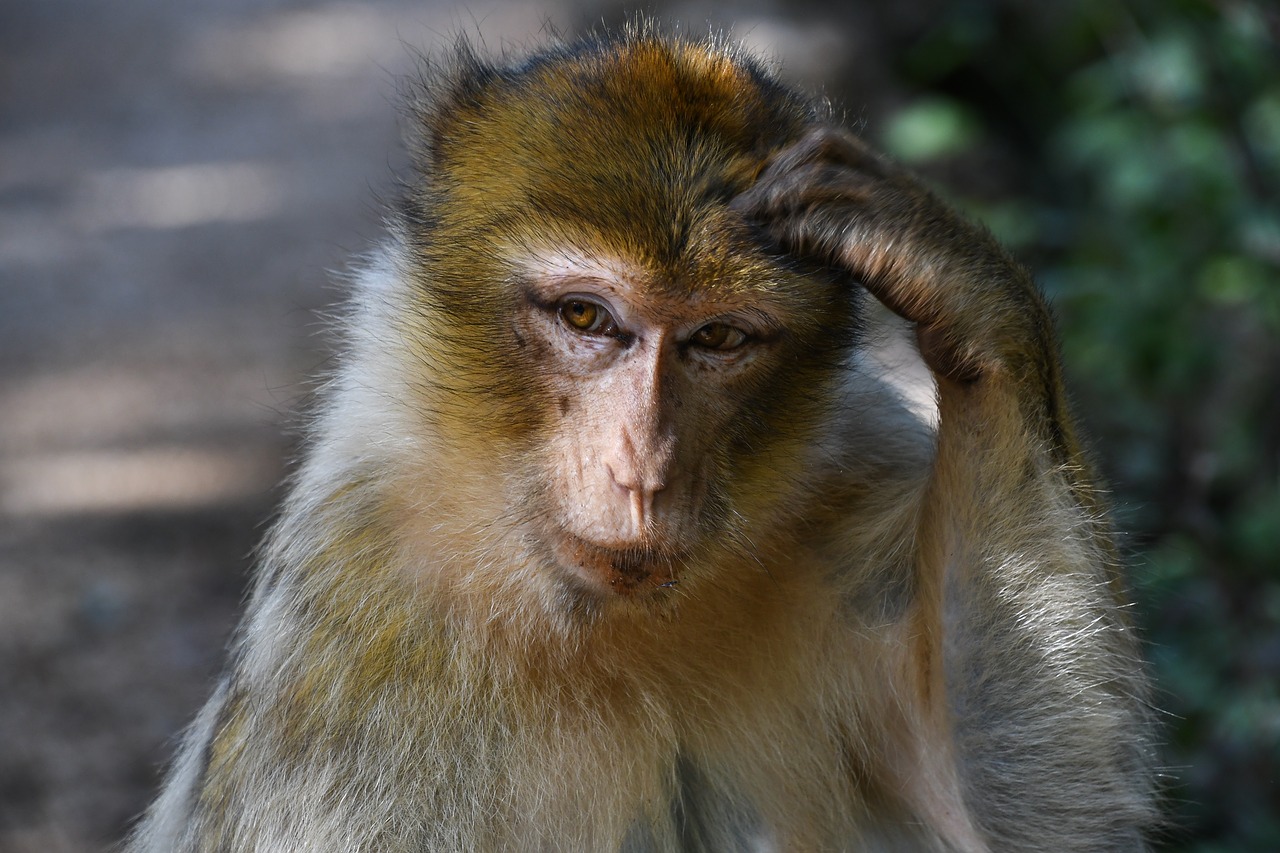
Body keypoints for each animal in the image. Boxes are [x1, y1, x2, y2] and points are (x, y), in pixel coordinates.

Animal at [124, 21, 1157, 850]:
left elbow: (1023, 820)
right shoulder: (358, 617)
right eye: (587, 317)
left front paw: (953, 271)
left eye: (719, 338)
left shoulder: (857, 473)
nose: (644, 473)